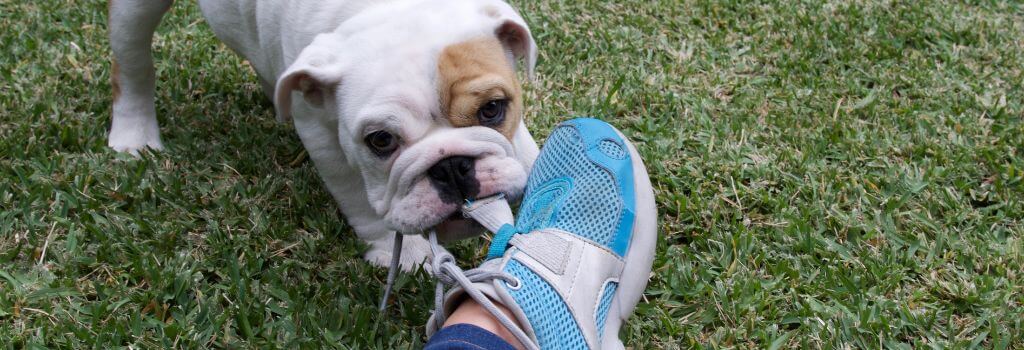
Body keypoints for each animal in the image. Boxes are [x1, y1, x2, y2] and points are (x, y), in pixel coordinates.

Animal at [107, 0, 540, 270]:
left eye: (493, 108)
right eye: (380, 140)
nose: (452, 167)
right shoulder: (322, 136)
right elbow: (359, 199)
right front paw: (402, 253)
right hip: (133, 15)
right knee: (133, 63)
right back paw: (134, 135)